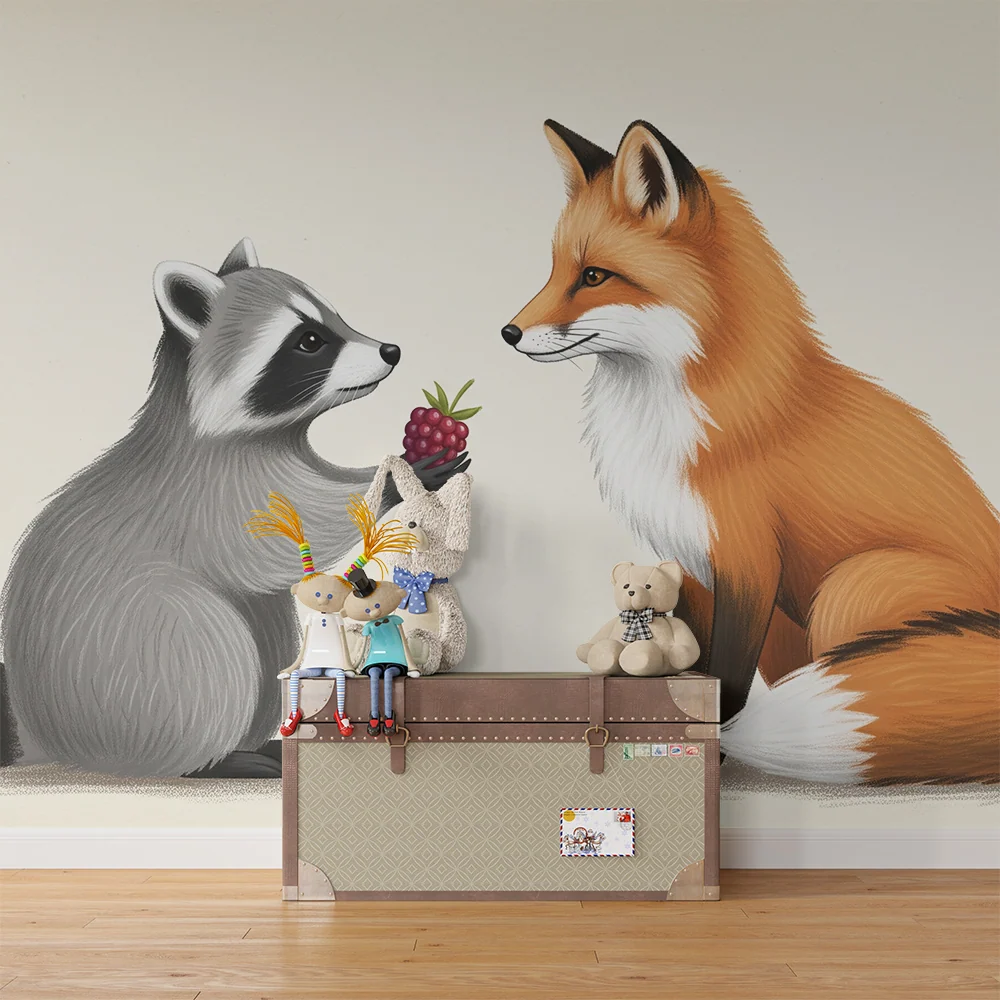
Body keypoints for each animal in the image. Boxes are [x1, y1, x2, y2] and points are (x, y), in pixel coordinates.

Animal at [501, 119, 999, 785]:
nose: (507, 332)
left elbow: (729, 673)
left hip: (848, 591)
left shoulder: (748, 559)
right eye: (555, 270)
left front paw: (720, 749)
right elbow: (700, 659)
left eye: (595, 277)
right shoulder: (691, 560)